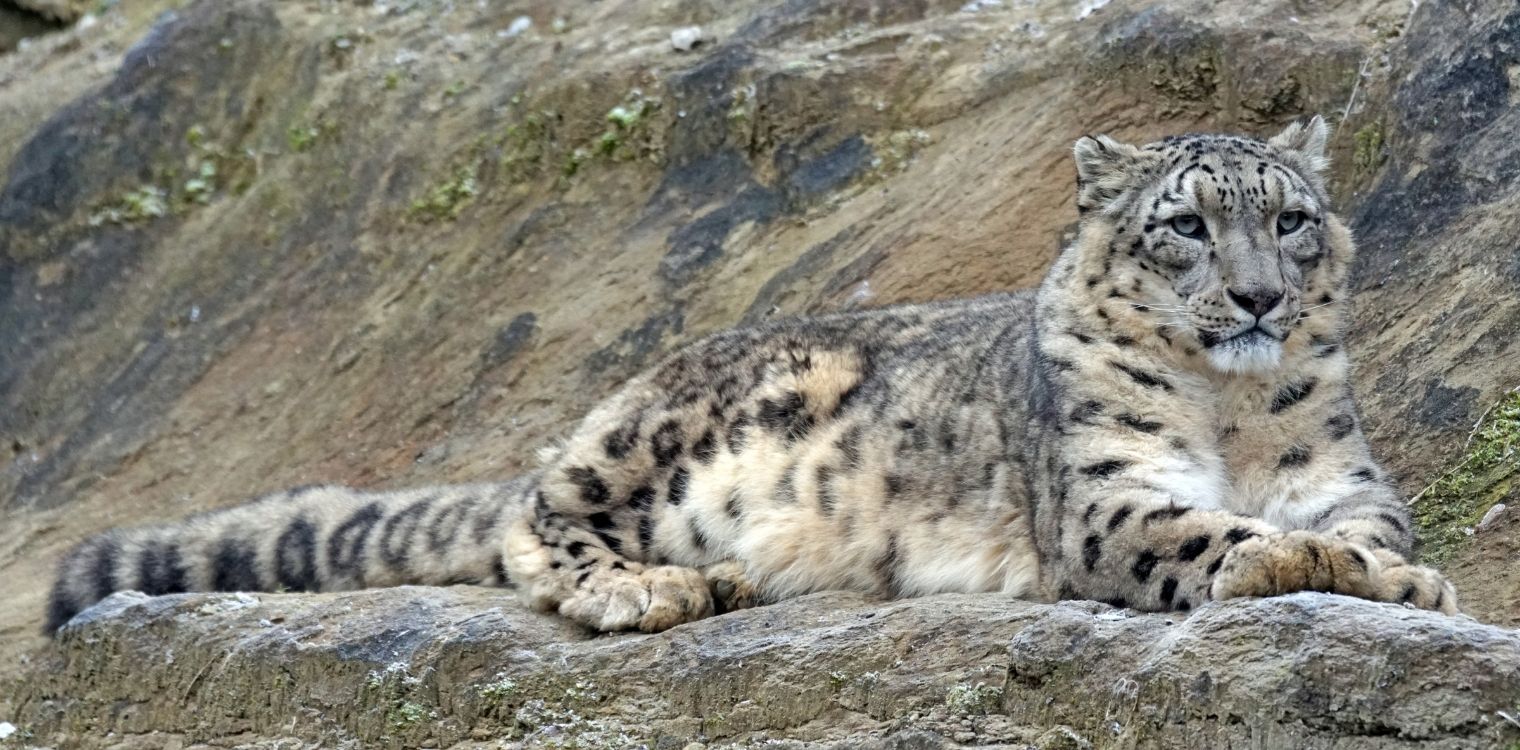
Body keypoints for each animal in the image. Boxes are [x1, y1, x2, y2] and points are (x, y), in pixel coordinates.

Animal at [45, 116, 1458, 636]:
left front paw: (1392, 574)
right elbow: (1209, 532)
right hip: (653, 434)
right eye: (1185, 224)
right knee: (532, 518)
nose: (1257, 297)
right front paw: (1301, 565)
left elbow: (1364, 529)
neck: (1230, 412)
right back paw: (652, 587)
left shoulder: (1343, 473)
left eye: (1288, 220)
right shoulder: (1105, 493)